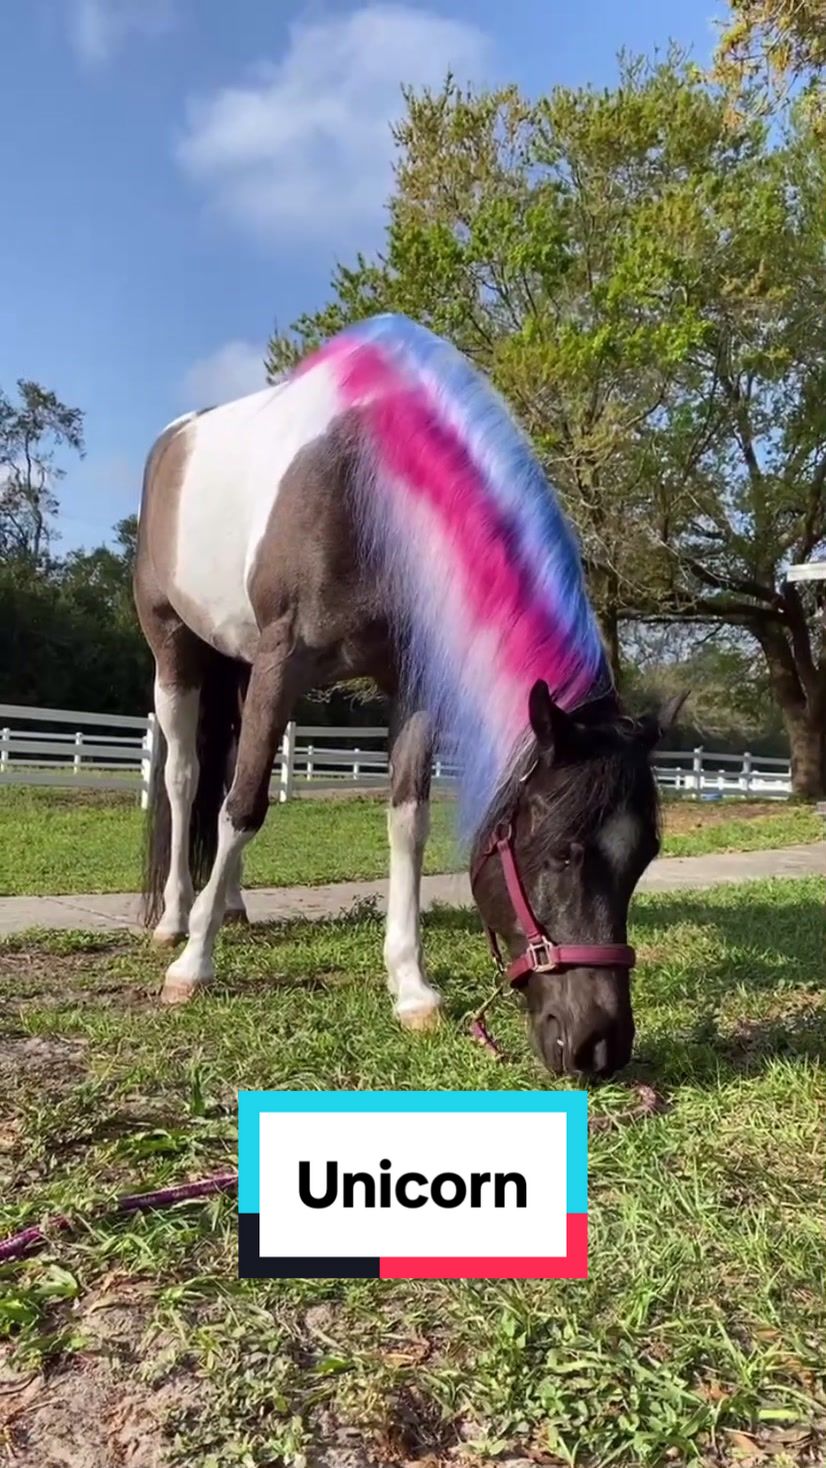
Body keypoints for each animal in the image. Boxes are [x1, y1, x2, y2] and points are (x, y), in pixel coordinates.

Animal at [134, 312, 683, 1079]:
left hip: (238, 668)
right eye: (560, 853)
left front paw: (411, 987)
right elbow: (243, 808)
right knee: (186, 781)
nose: (601, 1048)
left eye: (643, 860)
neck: (369, 489)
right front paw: (193, 967)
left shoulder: (408, 683)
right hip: (175, 651)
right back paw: (176, 922)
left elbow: (406, 822)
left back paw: (231, 904)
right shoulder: (282, 660)